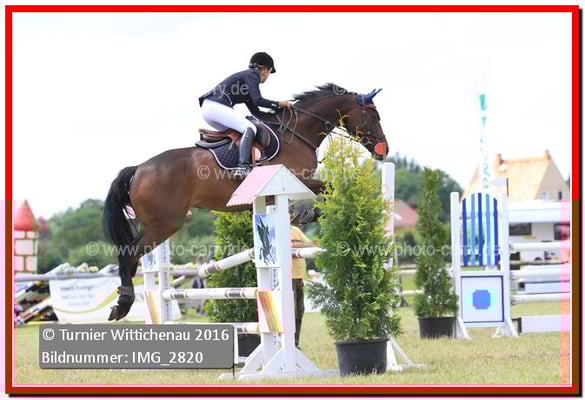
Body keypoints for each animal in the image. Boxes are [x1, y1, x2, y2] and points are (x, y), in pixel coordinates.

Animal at [103, 83, 388, 321]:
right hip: (164, 224)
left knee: (131, 257)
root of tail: (139, 169)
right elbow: (328, 188)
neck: (297, 133)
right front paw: (315, 214)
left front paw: (311, 215)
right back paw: (123, 303)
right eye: (375, 116)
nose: (383, 150)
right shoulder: (296, 179)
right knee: (128, 254)